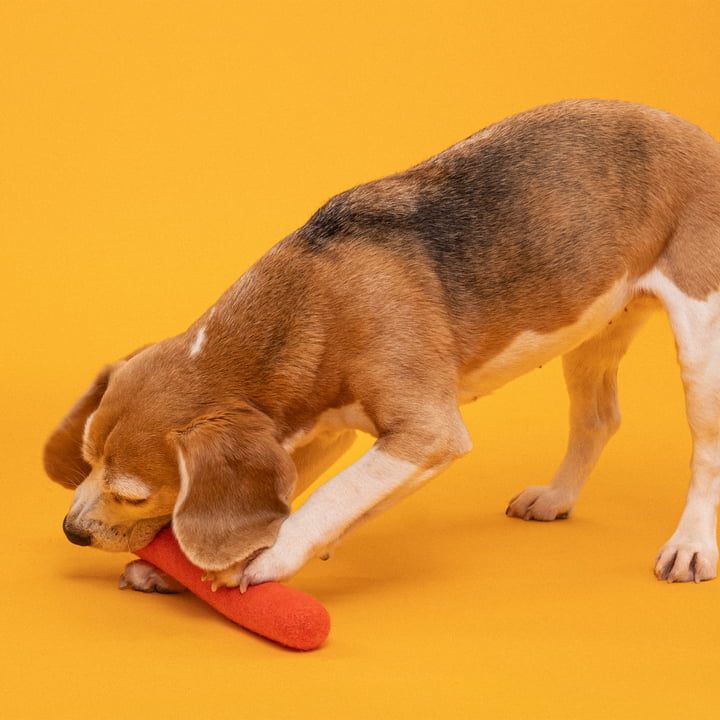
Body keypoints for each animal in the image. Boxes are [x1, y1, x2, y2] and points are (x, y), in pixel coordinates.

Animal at [43, 98, 720, 592]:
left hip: (701, 346)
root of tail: (702, 136)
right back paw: (556, 497)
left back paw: (689, 546)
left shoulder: (426, 433)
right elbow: (305, 490)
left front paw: (265, 558)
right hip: (591, 329)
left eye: (131, 492)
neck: (311, 304)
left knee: (705, 453)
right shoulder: (317, 429)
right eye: (87, 456)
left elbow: (332, 495)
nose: (72, 530)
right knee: (599, 419)